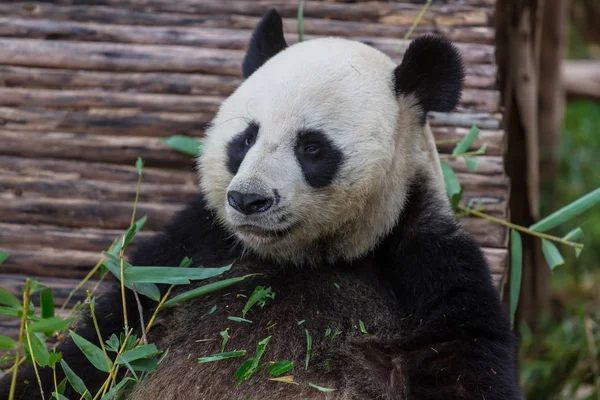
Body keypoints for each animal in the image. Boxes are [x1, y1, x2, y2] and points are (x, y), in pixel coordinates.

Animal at [0, 9, 520, 400]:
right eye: (245, 138)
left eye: (312, 147)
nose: (248, 199)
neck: (304, 260)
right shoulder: (192, 253)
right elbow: (103, 342)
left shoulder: (427, 265)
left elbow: (462, 361)